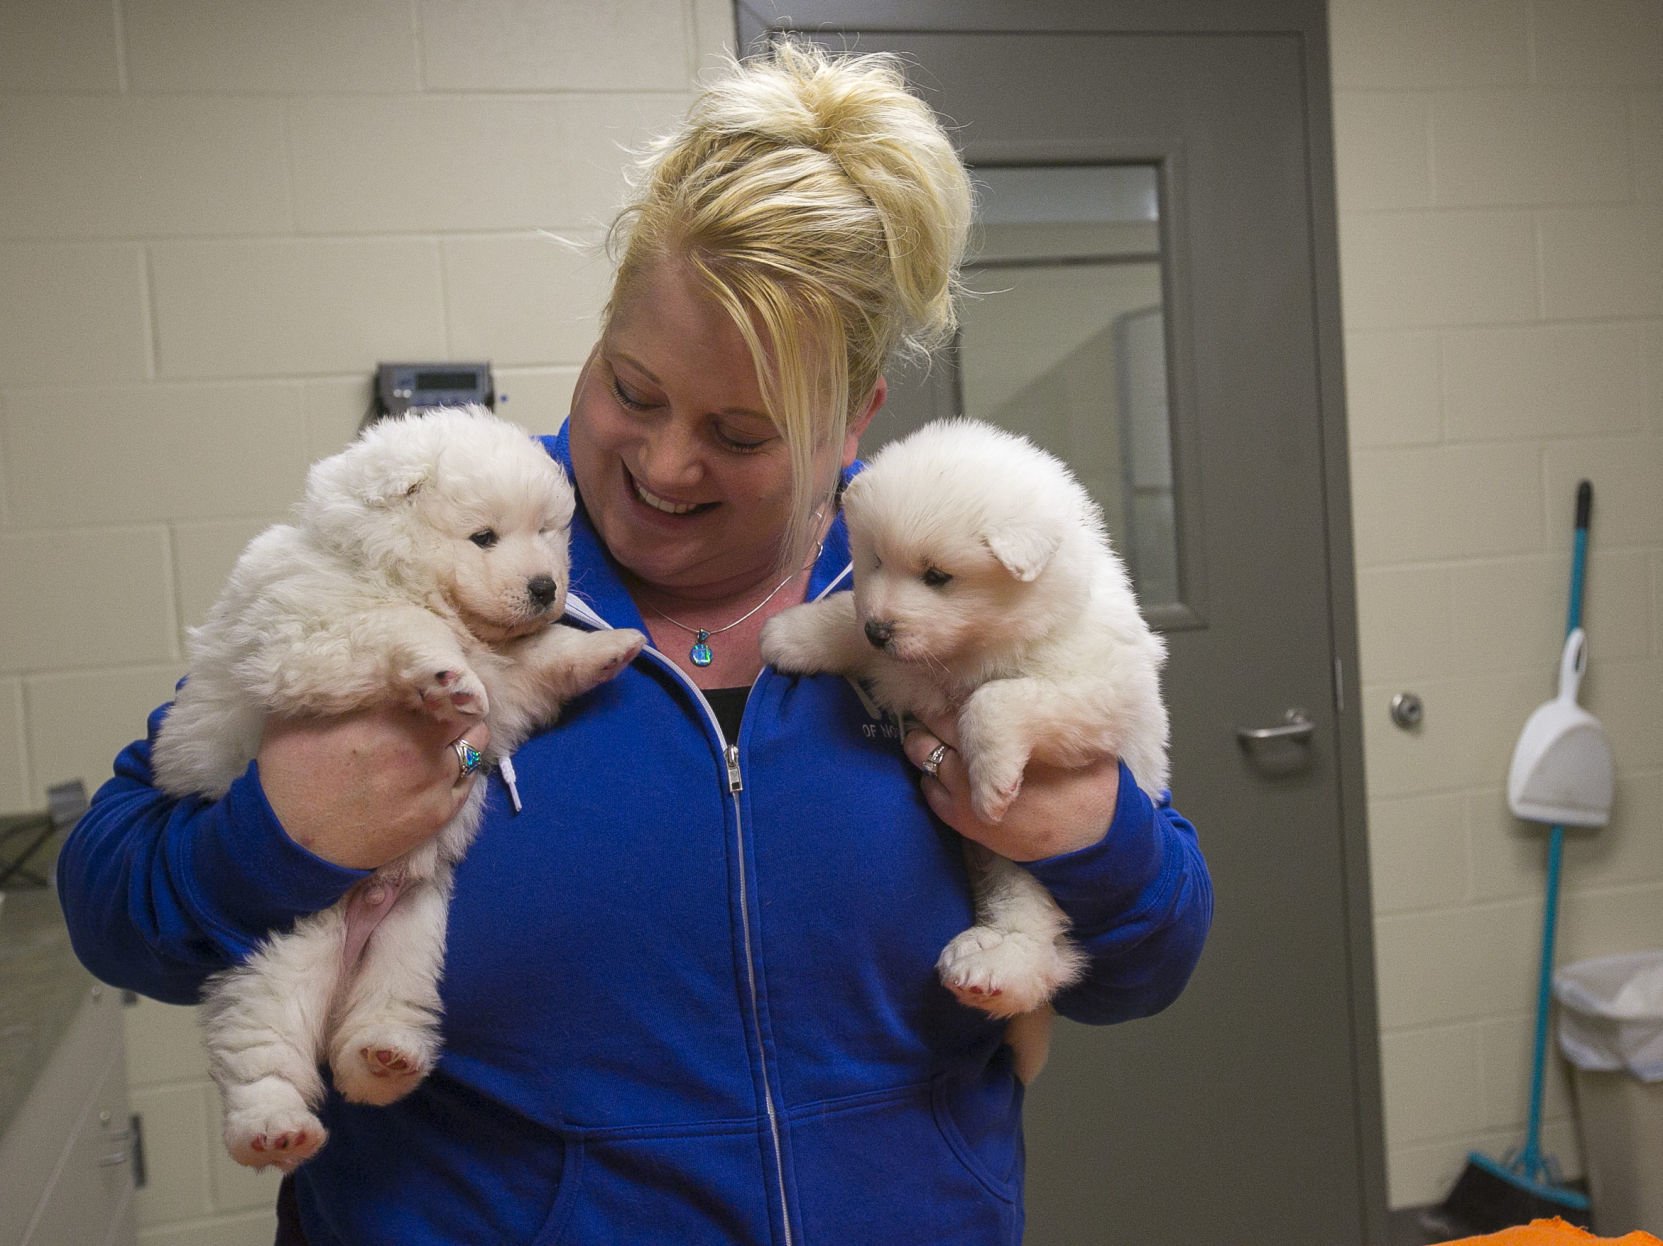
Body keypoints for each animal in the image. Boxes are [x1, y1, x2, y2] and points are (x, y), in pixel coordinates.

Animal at [152, 405, 641, 1164]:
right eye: (483, 536)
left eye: (548, 533)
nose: (545, 587)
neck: (389, 570)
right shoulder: (304, 639)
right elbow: (398, 627)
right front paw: (441, 672)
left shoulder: (510, 687)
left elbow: (540, 655)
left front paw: (608, 645)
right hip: (274, 954)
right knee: (259, 1052)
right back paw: (273, 1127)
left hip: (413, 938)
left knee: (375, 1025)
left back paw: (384, 1059)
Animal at [761, 417, 1164, 1058]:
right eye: (876, 559)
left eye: (937, 576)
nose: (881, 630)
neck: (970, 649)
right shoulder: (900, 667)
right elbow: (845, 613)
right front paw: (789, 634)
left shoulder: (1103, 689)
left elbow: (993, 700)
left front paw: (992, 783)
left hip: (1028, 870)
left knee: (1044, 948)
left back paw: (991, 970)